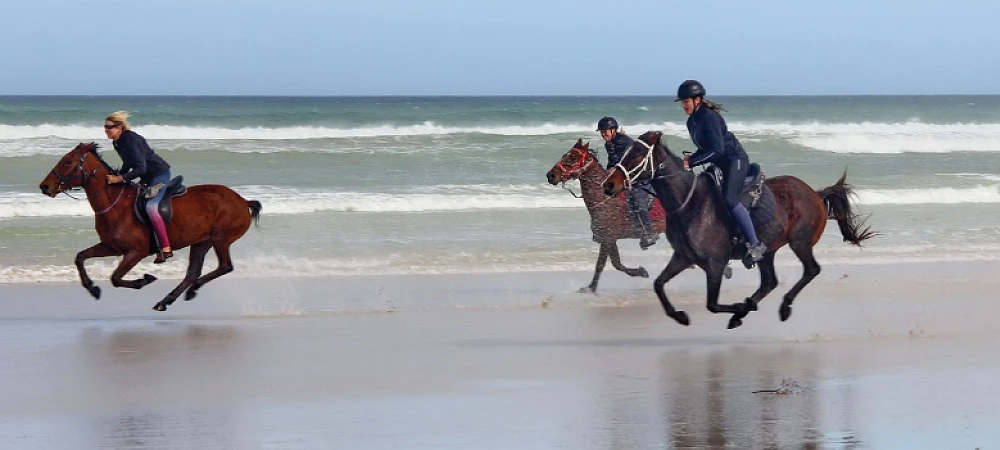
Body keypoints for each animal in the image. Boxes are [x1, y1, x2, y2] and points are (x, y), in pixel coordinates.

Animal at [38, 142, 262, 312]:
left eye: (68, 161)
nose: (44, 186)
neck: (115, 204)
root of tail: (242, 201)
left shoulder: (136, 251)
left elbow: (116, 278)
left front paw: (144, 279)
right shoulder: (111, 247)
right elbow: (81, 257)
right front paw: (93, 289)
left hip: (220, 239)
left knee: (224, 267)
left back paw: (189, 290)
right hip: (201, 242)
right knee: (193, 273)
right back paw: (168, 300)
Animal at [546, 139, 667, 292]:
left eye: (573, 157)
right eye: (564, 155)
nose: (550, 175)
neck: (604, 199)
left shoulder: (607, 238)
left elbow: (603, 264)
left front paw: (591, 288)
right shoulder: (609, 239)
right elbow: (614, 264)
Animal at [603, 131, 876, 329]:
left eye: (637, 154)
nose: (608, 185)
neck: (688, 203)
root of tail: (816, 194)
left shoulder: (715, 264)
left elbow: (712, 304)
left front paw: (741, 308)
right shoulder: (683, 257)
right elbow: (658, 284)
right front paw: (680, 316)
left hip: (800, 242)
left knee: (811, 270)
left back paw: (782, 307)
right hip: (768, 251)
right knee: (769, 282)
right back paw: (746, 310)